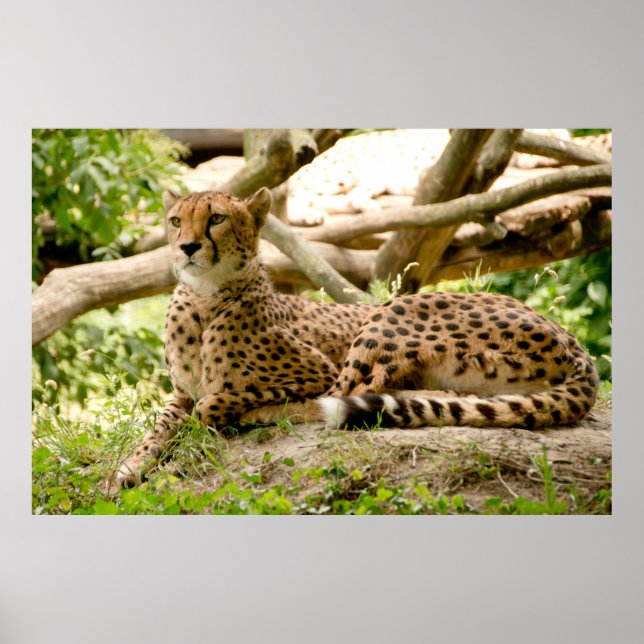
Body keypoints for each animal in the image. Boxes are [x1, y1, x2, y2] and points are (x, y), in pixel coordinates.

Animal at [116, 187, 599, 487]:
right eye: (175, 221)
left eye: (215, 218)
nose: (187, 247)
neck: (204, 299)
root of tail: (576, 346)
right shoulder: (180, 392)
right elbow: (159, 426)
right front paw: (131, 466)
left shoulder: (313, 370)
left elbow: (222, 398)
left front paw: (228, 413)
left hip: (391, 313)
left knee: (349, 394)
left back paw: (258, 416)